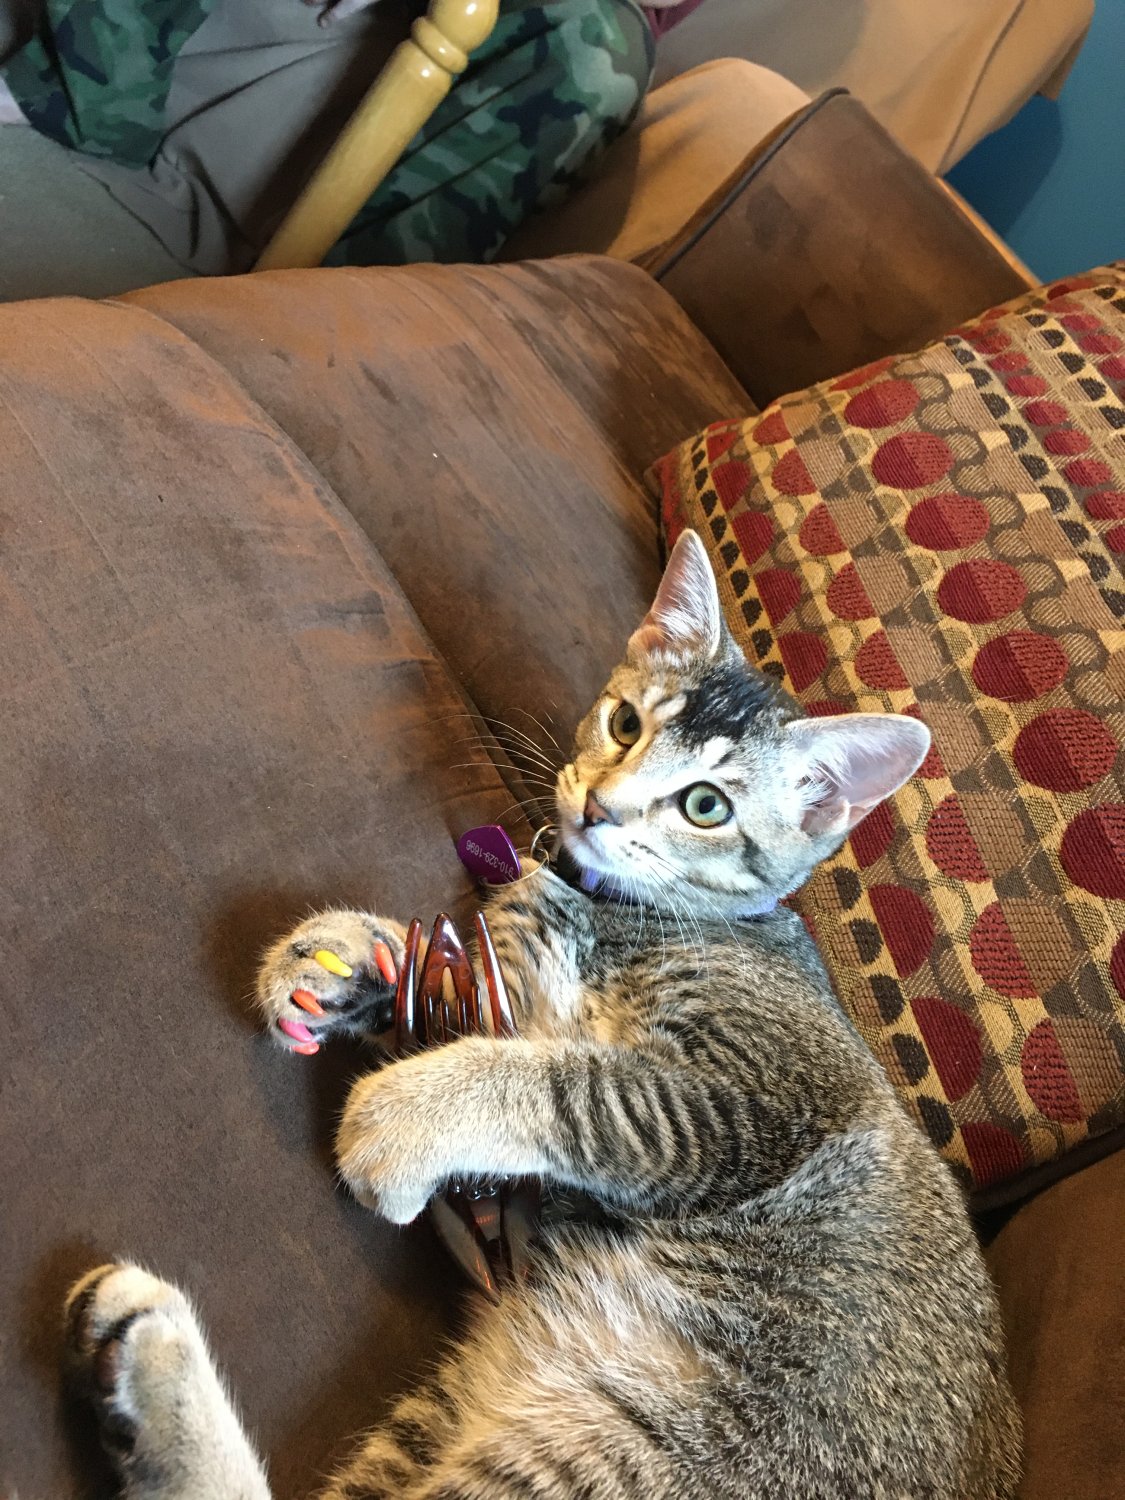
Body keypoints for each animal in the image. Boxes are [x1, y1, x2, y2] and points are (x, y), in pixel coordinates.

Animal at [64, 529, 1022, 1499]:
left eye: (705, 805)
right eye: (625, 724)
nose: (599, 805)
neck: (609, 903)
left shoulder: (745, 1096)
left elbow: (567, 1083)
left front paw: (399, 1115)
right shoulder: (513, 985)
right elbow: (461, 993)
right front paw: (342, 957)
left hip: (628, 1450)